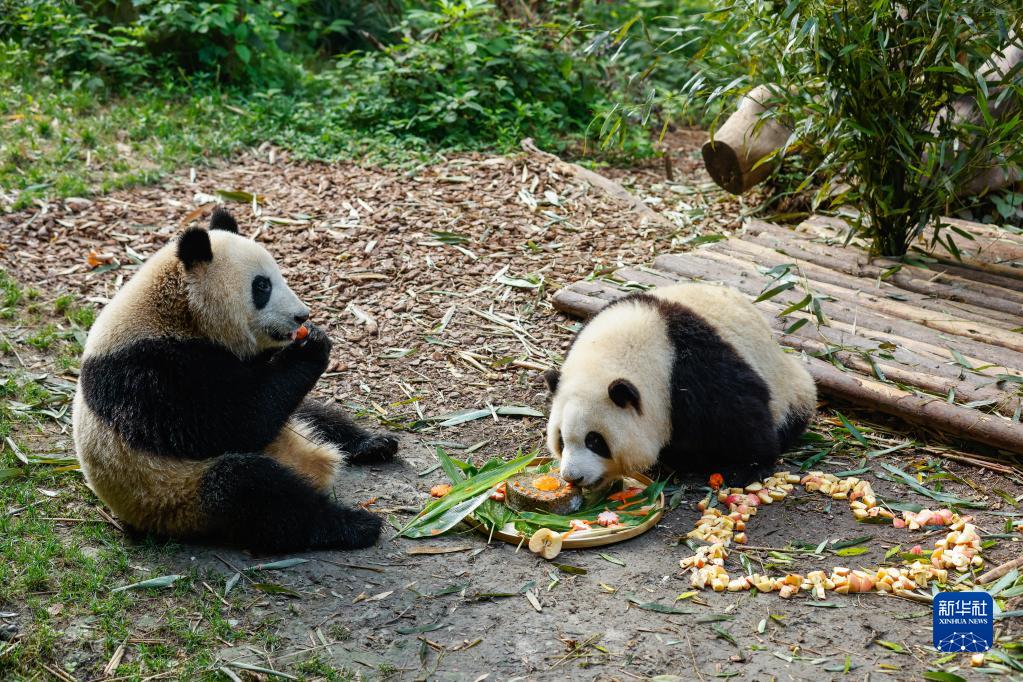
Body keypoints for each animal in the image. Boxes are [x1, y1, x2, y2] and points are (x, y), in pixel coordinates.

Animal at [72, 209, 396, 556]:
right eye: (262, 286)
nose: (301, 316)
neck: (175, 312)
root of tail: (313, 461)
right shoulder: (147, 373)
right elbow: (235, 422)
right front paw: (311, 346)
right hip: (178, 495)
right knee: (254, 492)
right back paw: (354, 524)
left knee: (316, 414)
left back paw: (373, 444)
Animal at [544, 284, 814, 490]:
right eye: (561, 440)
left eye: (595, 441)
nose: (573, 477)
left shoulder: (692, 367)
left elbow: (739, 412)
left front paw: (746, 467)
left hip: (788, 387)